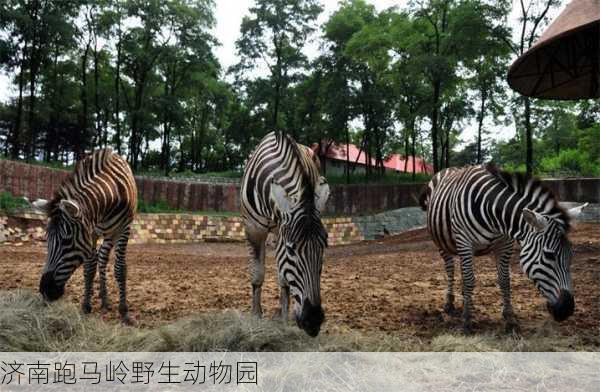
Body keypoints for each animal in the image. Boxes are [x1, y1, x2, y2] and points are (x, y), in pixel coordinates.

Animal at [32, 149, 137, 324]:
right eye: (47, 240)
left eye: (66, 240)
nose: (45, 290)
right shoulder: (90, 233)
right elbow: (89, 268)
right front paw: (86, 306)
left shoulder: (124, 229)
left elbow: (120, 269)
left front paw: (124, 311)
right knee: (99, 259)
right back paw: (100, 295)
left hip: (111, 234)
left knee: (103, 257)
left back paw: (104, 297)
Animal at [241, 132, 330, 336]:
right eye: (291, 250)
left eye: (324, 248)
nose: (313, 321)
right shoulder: (253, 228)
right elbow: (257, 273)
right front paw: (256, 316)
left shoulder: (282, 230)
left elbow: (284, 279)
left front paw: (283, 319)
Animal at [422, 164, 584, 332]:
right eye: (549, 256)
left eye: (571, 255)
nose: (567, 310)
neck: (492, 212)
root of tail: (449, 168)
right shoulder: (464, 241)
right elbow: (469, 279)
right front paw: (466, 320)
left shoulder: (505, 245)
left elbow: (504, 280)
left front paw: (509, 317)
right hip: (442, 242)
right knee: (450, 270)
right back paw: (450, 302)